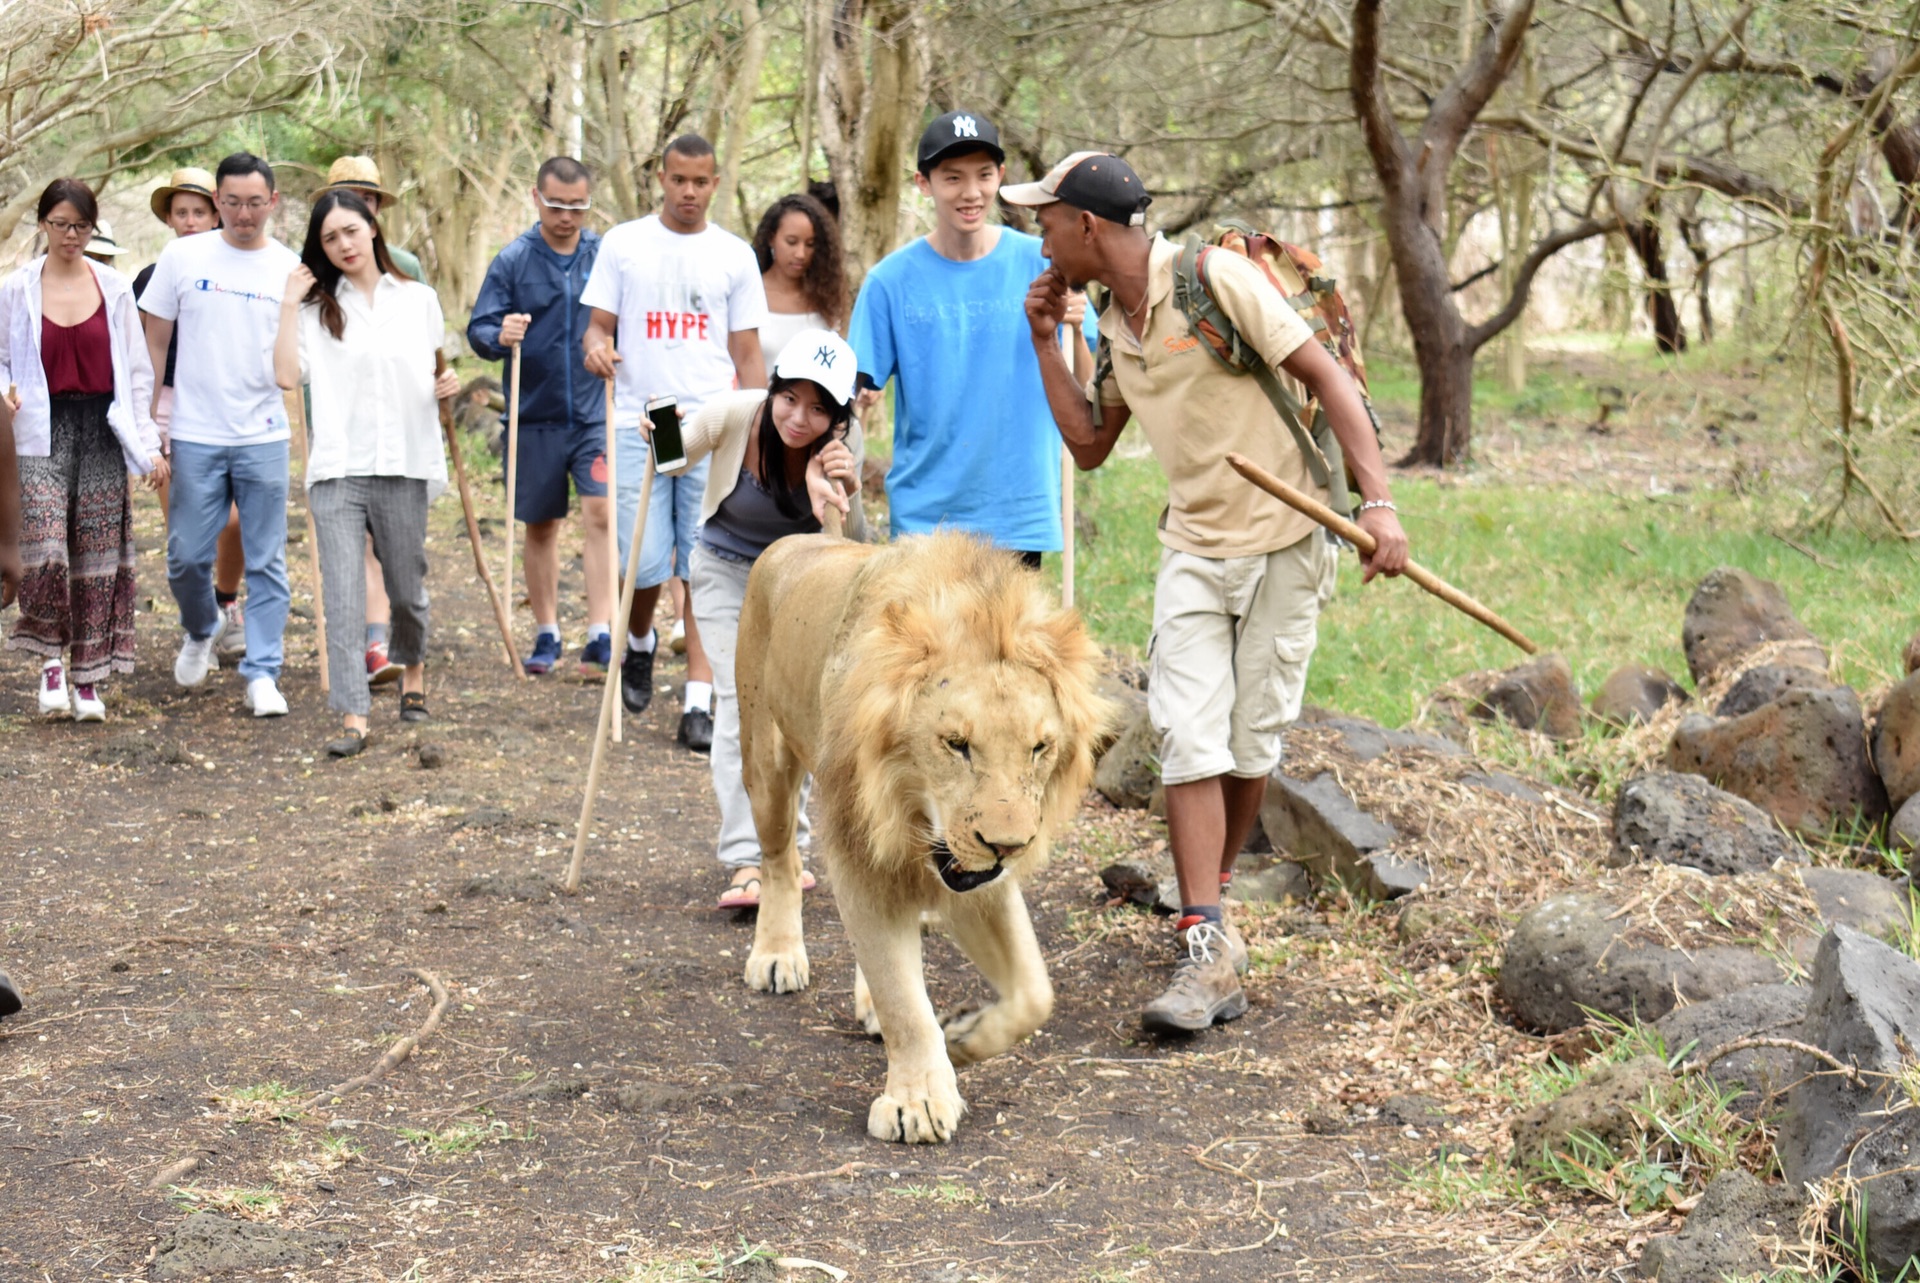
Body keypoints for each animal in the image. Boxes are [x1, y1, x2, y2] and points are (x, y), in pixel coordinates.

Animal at [741, 530, 1121, 1144]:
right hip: (765, 765)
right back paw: (777, 956)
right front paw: (915, 1100)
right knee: (780, 861)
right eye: (956, 744)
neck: (909, 811)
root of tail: (804, 536)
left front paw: (964, 1038)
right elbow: (903, 1002)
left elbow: (1035, 994)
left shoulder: (977, 883)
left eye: (1039, 748)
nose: (1008, 846)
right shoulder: (861, 853)